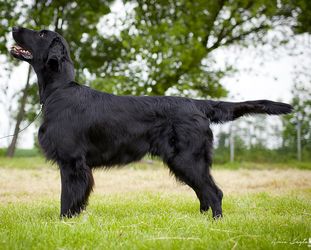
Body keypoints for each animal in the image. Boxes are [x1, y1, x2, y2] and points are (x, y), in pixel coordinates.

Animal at [9, 27, 292, 219]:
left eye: (41, 34)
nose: (14, 27)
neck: (60, 90)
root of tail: (196, 104)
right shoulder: (76, 163)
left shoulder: (72, 161)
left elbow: (67, 198)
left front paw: (64, 222)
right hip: (185, 161)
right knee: (204, 192)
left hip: (187, 158)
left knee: (214, 192)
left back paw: (216, 223)